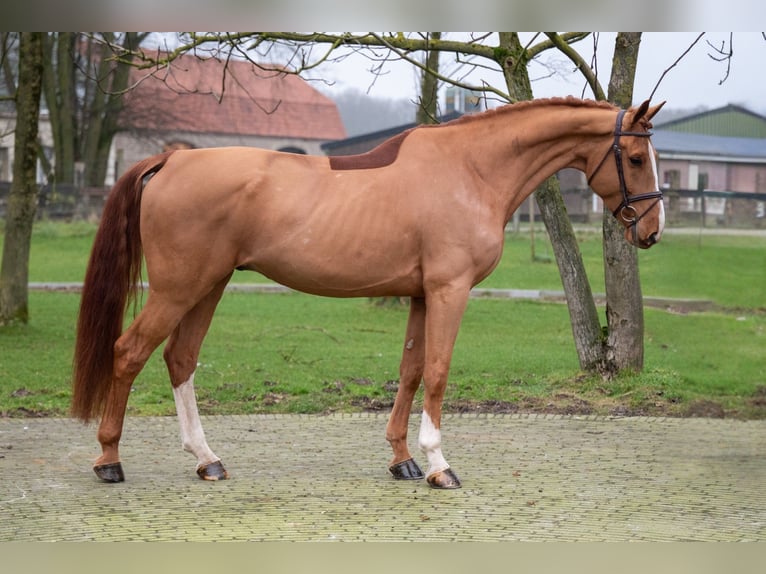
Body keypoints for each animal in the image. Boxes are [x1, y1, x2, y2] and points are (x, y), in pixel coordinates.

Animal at [75, 98, 668, 490]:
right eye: (637, 158)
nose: (652, 231)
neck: (471, 168)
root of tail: (171, 159)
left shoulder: (422, 295)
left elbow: (410, 370)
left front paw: (402, 460)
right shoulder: (449, 291)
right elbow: (438, 372)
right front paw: (438, 465)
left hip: (208, 285)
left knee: (180, 358)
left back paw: (207, 459)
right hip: (179, 288)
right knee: (130, 352)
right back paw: (109, 461)